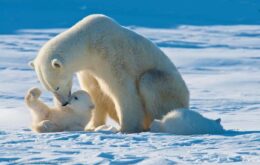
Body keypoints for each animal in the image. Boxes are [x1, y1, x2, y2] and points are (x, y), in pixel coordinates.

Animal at [31, 14, 189, 133]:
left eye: (57, 87)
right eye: (49, 88)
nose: (63, 103)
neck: (88, 42)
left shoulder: (110, 55)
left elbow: (123, 90)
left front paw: (126, 128)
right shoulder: (88, 69)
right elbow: (95, 92)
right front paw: (93, 126)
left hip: (171, 88)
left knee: (149, 82)